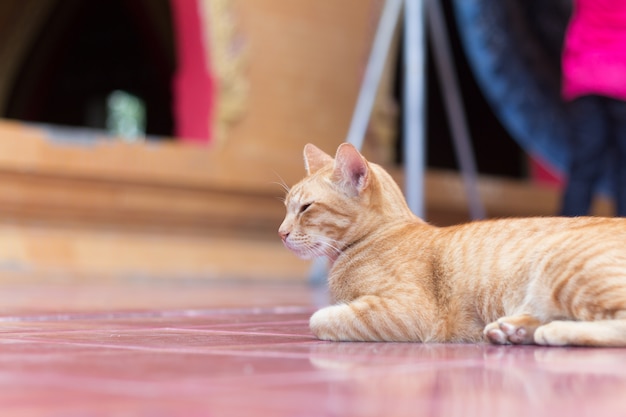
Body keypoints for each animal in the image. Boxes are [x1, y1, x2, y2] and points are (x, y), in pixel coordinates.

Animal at [280, 142, 626, 344]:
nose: (281, 232)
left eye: (306, 208)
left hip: (562, 269)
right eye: (286, 207)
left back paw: (550, 331)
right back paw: (515, 330)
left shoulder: (407, 311)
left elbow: (320, 318)